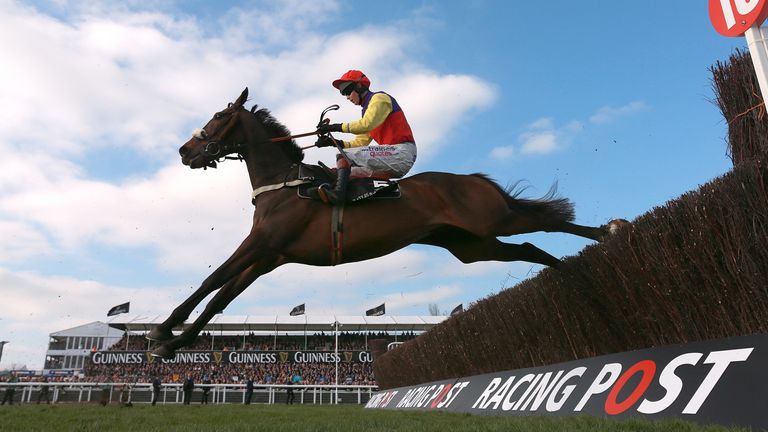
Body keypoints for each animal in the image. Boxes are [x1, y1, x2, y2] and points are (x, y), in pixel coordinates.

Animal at [147, 87, 628, 358]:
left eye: (216, 118)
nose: (185, 151)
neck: (283, 184)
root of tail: (470, 179)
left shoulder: (261, 244)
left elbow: (211, 282)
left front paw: (162, 329)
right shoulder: (270, 256)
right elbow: (220, 298)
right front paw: (173, 344)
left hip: (491, 220)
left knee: (544, 221)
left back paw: (610, 233)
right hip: (474, 246)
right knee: (530, 246)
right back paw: (573, 270)